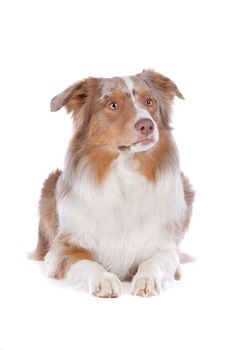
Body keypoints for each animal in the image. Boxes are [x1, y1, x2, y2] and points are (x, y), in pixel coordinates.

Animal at [32, 69, 193, 296]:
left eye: (150, 101)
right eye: (113, 105)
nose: (147, 125)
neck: (125, 174)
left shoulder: (164, 247)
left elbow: (154, 262)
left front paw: (147, 279)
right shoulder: (66, 248)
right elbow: (87, 263)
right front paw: (104, 279)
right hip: (49, 185)